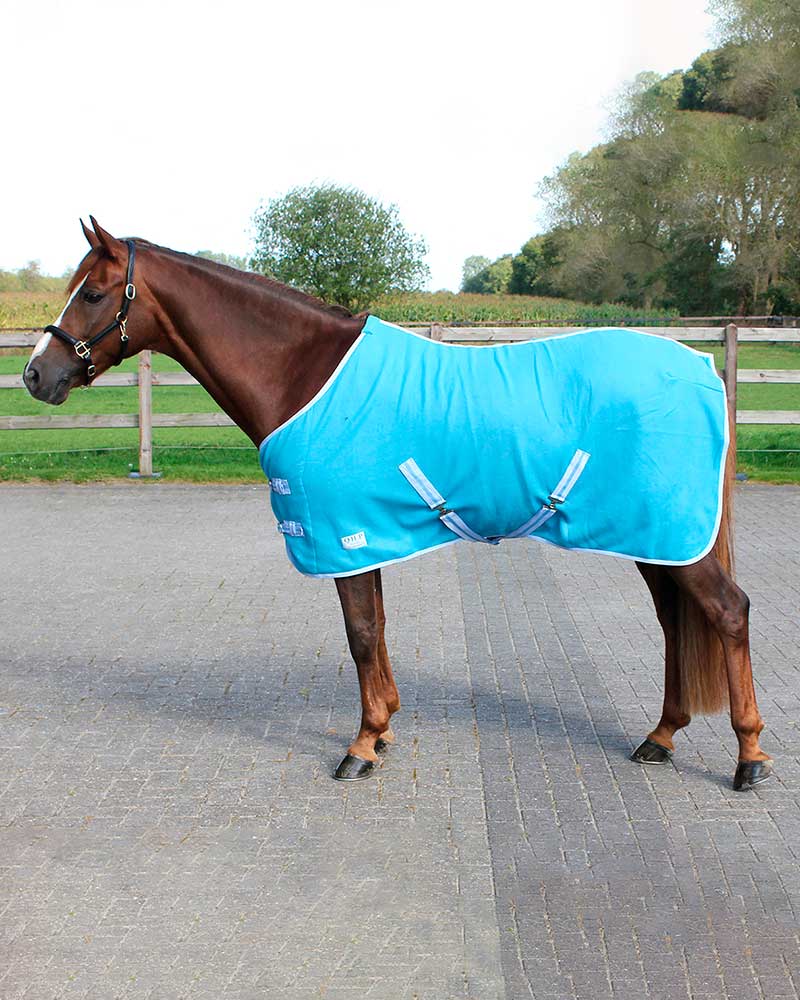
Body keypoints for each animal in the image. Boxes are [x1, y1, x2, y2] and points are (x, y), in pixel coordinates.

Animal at [22, 218, 772, 790]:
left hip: (674, 538)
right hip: (658, 538)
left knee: (728, 613)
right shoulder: (363, 535)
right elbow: (375, 630)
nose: (35, 375)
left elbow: (359, 635)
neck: (303, 374)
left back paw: (750, 757)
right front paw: (381, 728)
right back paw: (661, 736)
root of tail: (702, 368)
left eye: (93, 293)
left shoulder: (341, 533)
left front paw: (360, 746)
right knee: (677, 625)